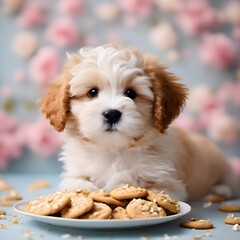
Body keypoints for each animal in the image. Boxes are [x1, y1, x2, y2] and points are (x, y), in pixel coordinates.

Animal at [40, 43, 239, 201]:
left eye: (131, 93)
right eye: (92, 92)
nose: (112, 114)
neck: (114, 150)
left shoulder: (169, 184)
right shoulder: (74, 173)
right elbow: (75, 184)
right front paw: (89, 191)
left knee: (229, 181)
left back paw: (221, 190)